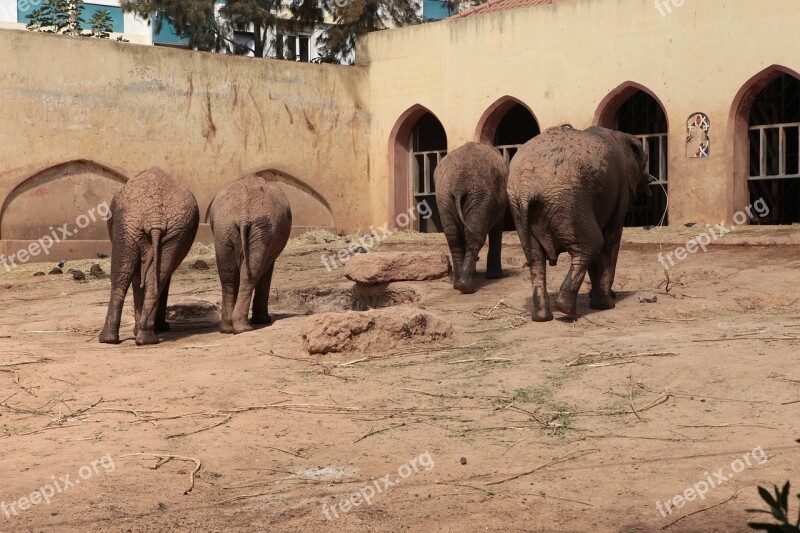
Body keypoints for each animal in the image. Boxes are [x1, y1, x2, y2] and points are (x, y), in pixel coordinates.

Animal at [99, 165, 200, 344]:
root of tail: (155, 216)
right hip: (143, 226)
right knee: (149, 276)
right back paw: (139, 338)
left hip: (135, 225)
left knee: (124, 276)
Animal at [208, 175, 292, 332]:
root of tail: (243, 213)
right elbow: (266, 270)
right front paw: (263, 321)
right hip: (262, 228)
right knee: (251, 273)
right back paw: (244, 328)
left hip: (224, 229)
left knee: (227, 275)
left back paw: (227, 328)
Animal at [434, 141, 510, 294]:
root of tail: (458, 185)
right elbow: (497, 228)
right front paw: (496, 276)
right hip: (479, 197)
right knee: (474, 237)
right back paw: (466, 287)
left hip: (445, 197)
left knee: (454, 238)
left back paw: (458, 284)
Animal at [510, 124, 652, 320]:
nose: (650, 180)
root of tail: (526, 188)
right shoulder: (622, 188)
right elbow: (611, 237)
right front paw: (606, 304)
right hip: (569, 200)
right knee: (592, 244)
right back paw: (566, 309)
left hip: (519, 208)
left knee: (535, 256)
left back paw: (542, 317)